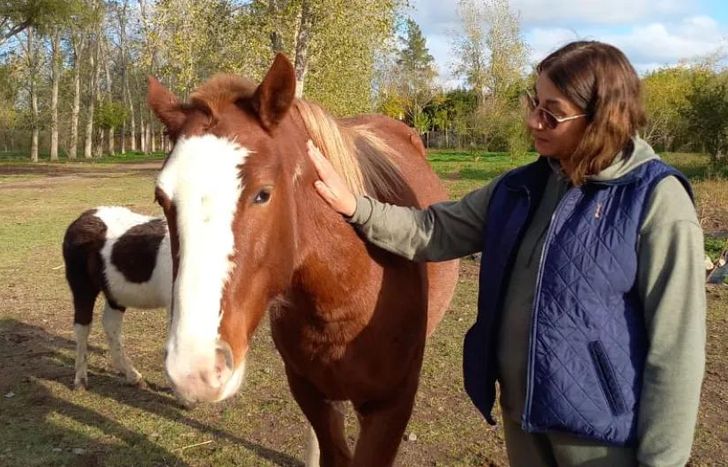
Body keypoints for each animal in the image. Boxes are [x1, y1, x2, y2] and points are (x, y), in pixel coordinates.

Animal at [63, 206, 172, 389]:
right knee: (82, 326)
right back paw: (81, 379)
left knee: (110, 325)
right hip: (82, 287)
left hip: (115, 293)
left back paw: (132, 375)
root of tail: (85, 215)